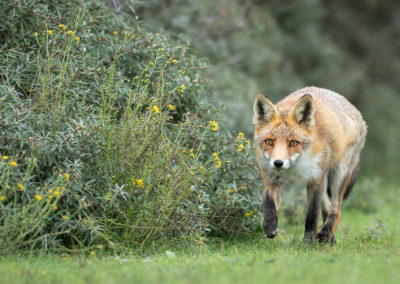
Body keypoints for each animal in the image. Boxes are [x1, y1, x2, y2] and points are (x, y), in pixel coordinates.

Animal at [253, 86, 366, 242]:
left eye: (293, 143)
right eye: (269, 141)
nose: (278, 163)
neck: (293, 169)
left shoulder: (315, 178)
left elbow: (312, 215)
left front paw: (308, 242)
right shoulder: (270, 177)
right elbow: (268, 202)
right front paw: (269, 226)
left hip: (340, 174)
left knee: (335, 209)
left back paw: (325, 233)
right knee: (327, 207)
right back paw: (331, 241)